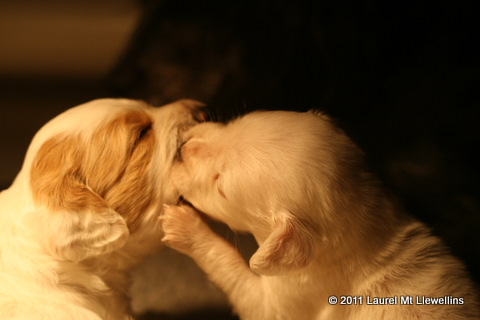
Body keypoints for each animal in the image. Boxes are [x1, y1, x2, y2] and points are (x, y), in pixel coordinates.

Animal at [162, 110, 480, 320]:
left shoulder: (290, 300)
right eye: (232, 124)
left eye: (221, 187)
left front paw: (184, 226)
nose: (181, 148)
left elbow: (238, 278)